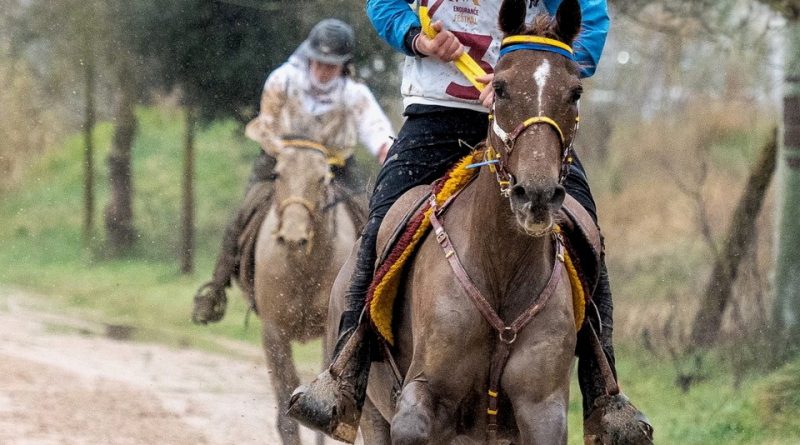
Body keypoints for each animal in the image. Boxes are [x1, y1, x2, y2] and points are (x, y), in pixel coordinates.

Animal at [255, 143, 358, 444]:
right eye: (276, 174)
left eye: (323, 178)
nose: (293, 236)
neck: (304, 266)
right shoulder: (273, 332)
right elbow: (286, 400)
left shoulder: (331, 331)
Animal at [328, 1, 584, 442]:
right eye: (500, 87)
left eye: (575, 92)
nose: (535, 195)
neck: (500, 267)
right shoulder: (424, 395)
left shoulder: (542, 407)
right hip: (373, 415)